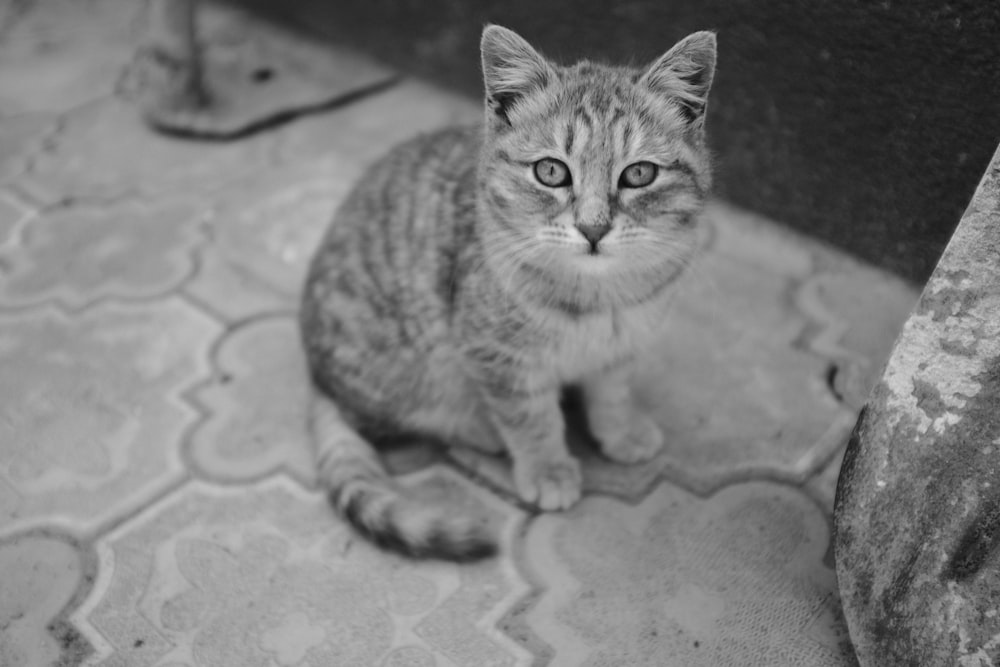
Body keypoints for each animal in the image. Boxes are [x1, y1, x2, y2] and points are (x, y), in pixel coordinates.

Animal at [300, 23, 716, 560]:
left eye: (639, 173)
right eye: (551, 171)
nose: (594, 228)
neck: (599, 295)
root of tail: (317, 375)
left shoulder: (622, 346)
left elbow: (613, 391)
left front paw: (620, 430)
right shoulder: (497, 356)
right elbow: (529, 418)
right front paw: (547, 468)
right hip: (410, 360)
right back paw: (480, 427)